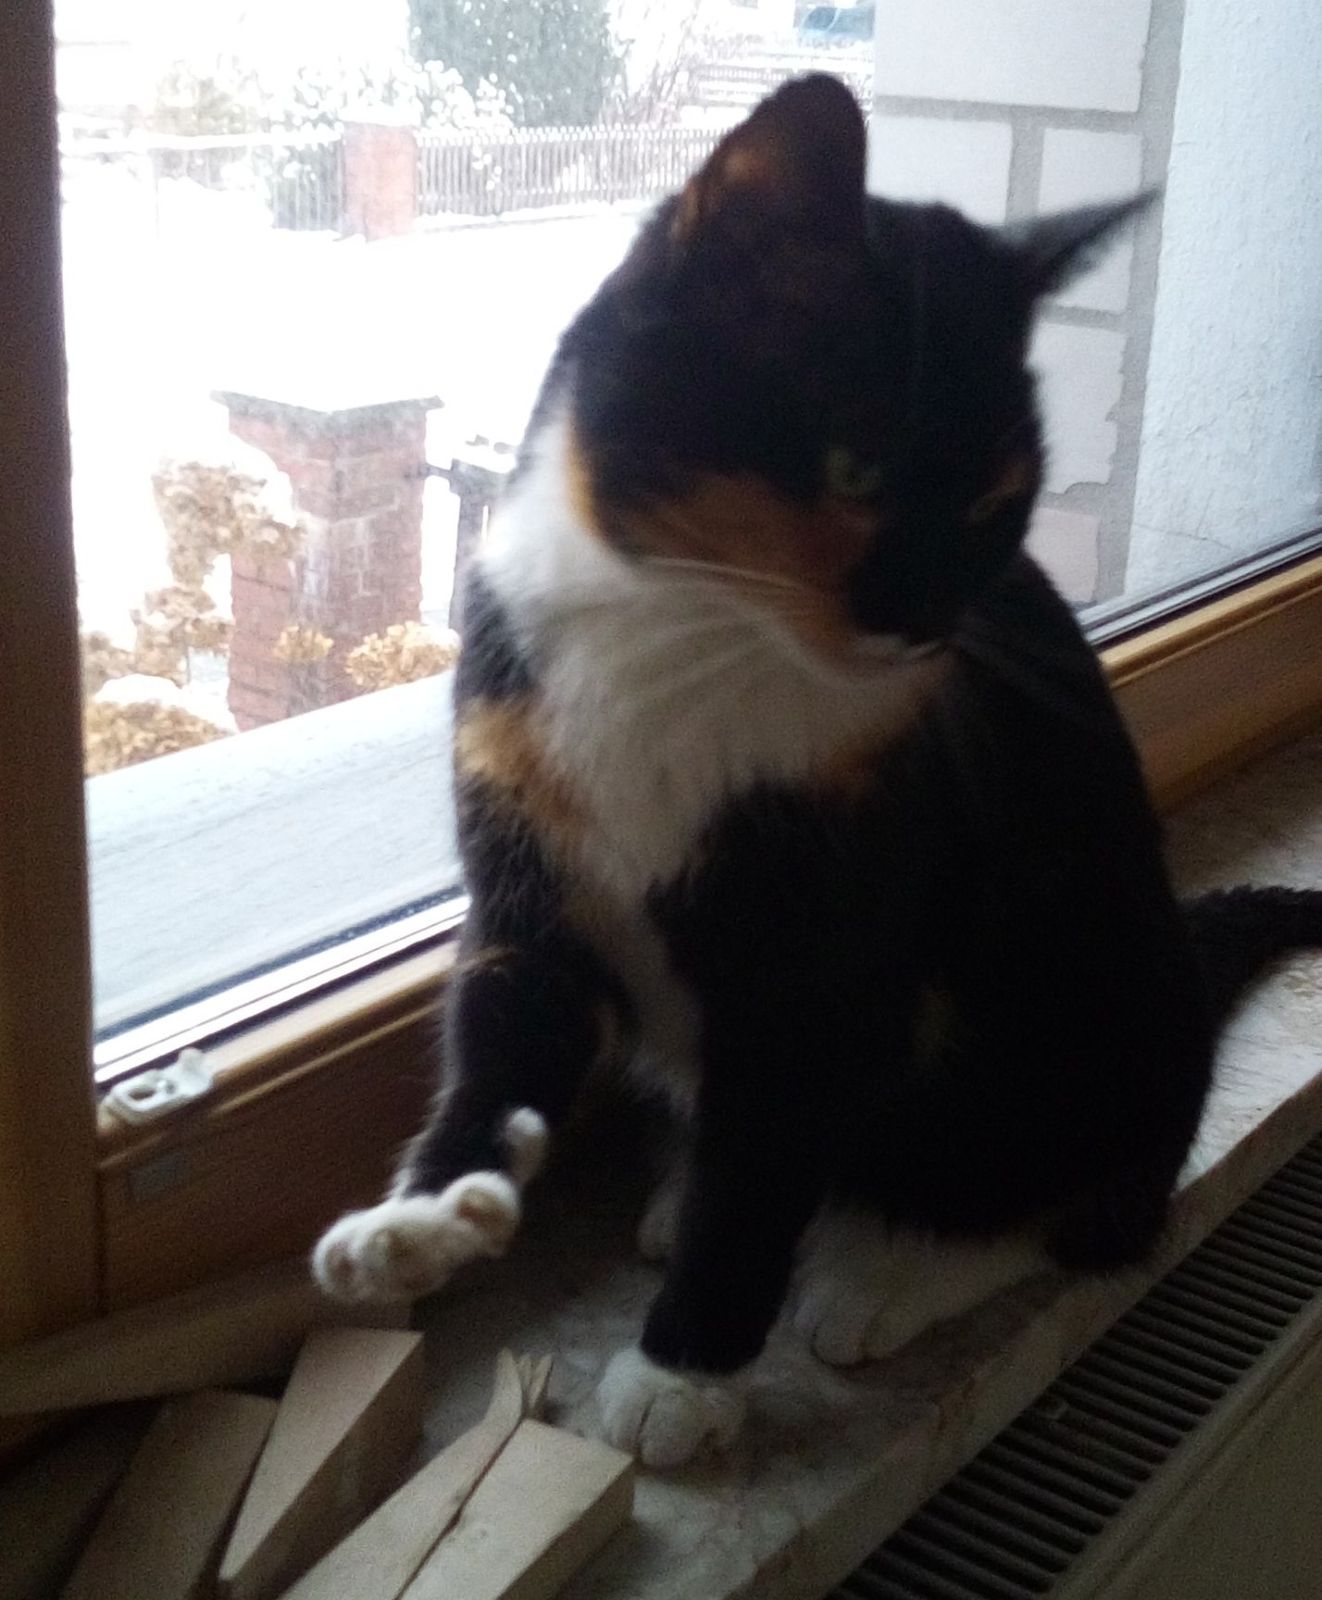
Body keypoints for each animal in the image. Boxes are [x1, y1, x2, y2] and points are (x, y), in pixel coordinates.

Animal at [313, 75, 1322, 1469]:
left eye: (1002, 498)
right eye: (856, 466)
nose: (928, 626)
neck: (690, 644)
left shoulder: (829, 956)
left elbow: (767, 1168)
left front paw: (681, 1376)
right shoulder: (524, 876)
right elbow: (500, 1038)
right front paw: (420, 1220)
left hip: (1077, 1024)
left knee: (1075, 1202)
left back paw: (880, 1273)